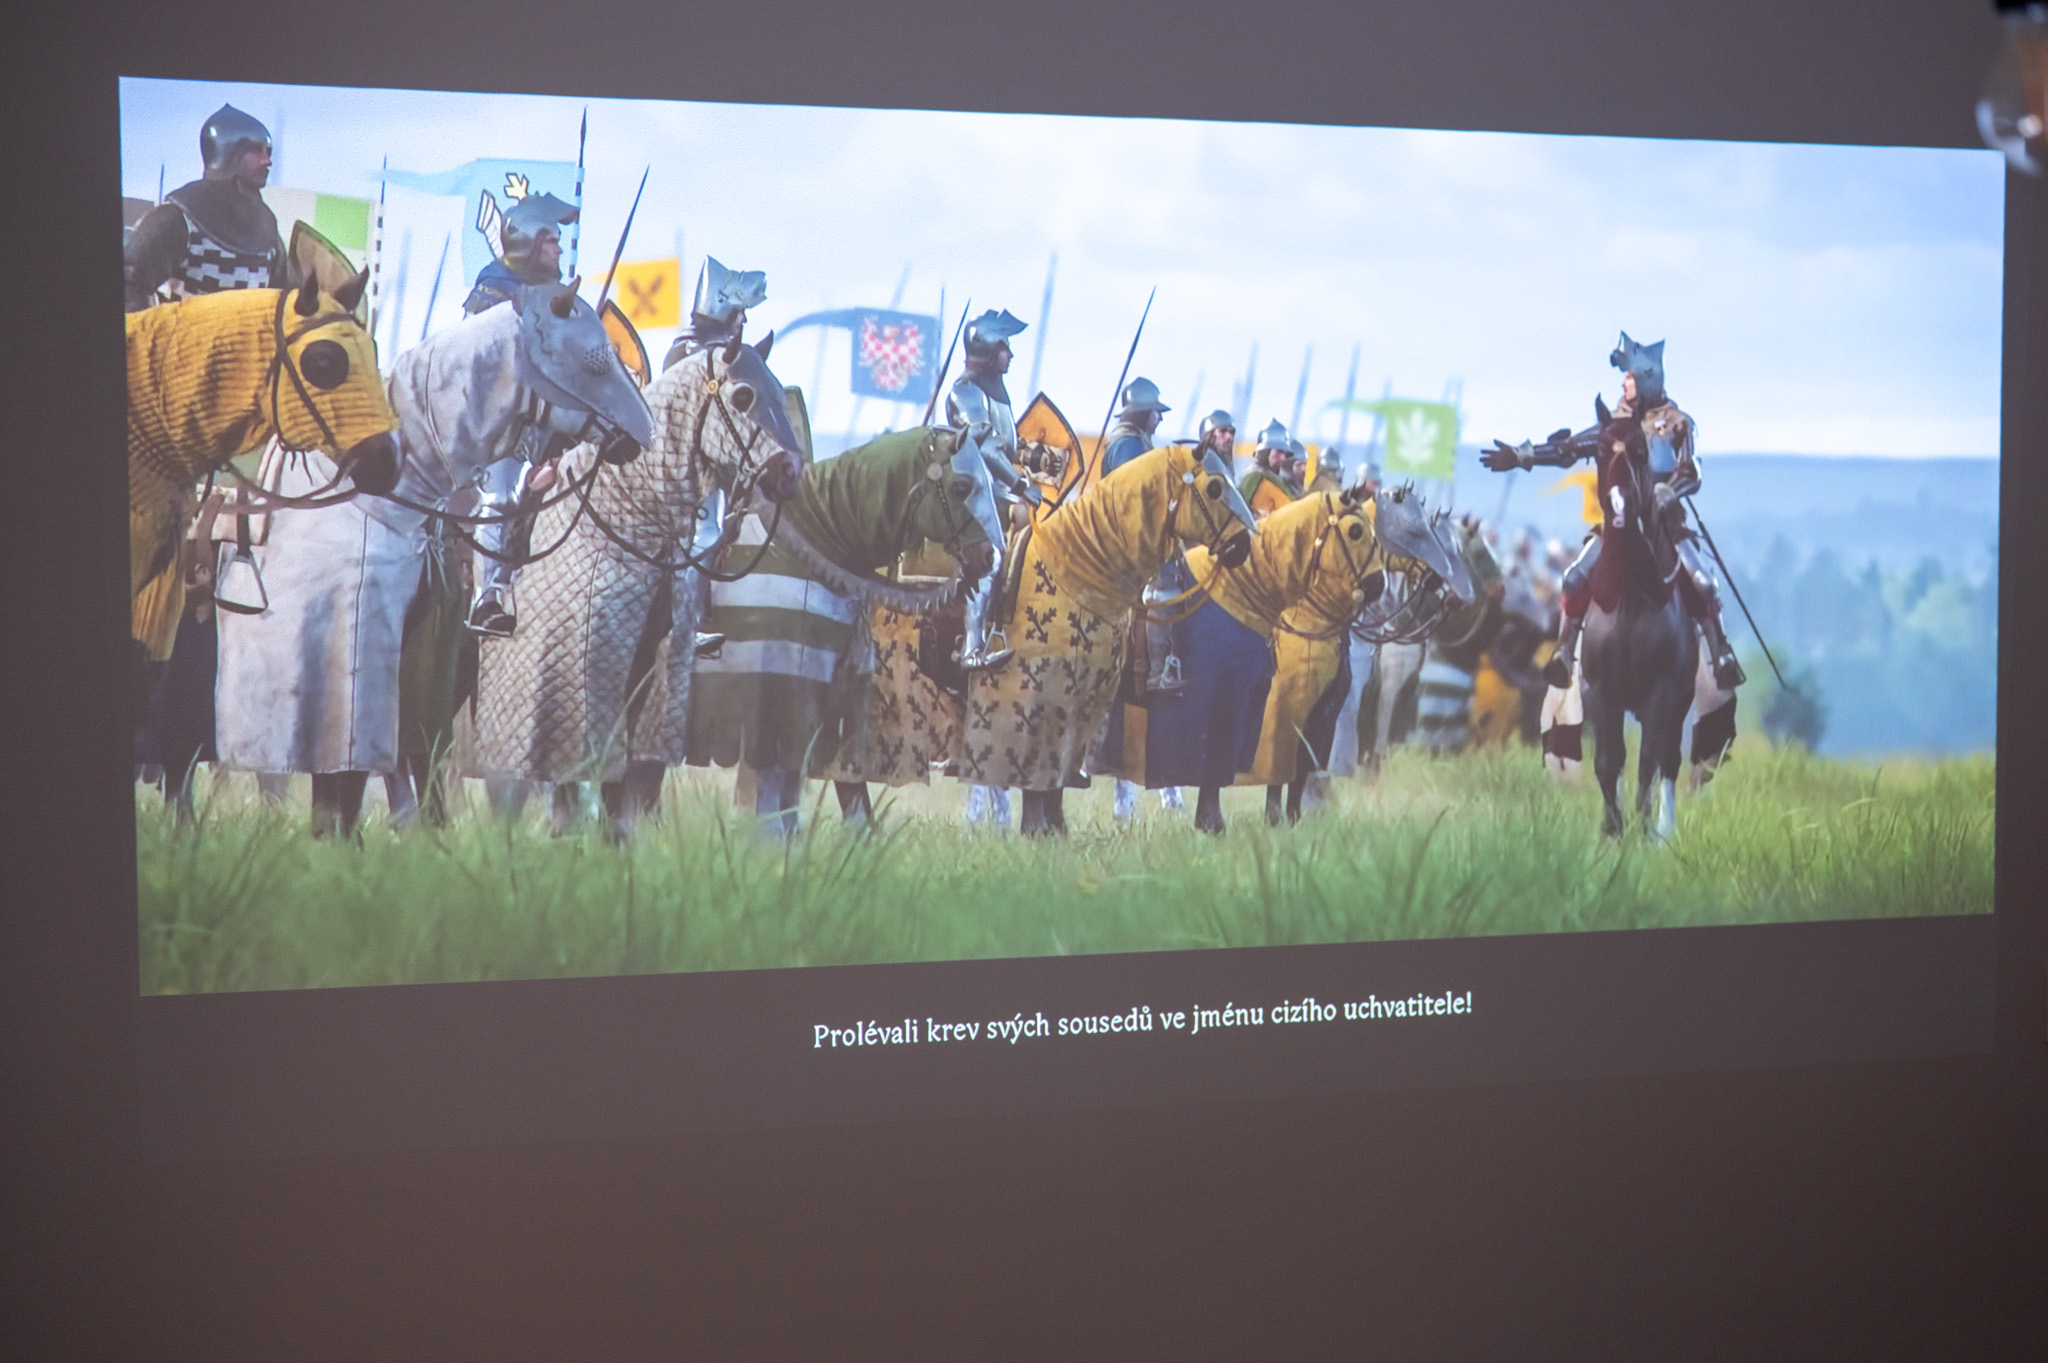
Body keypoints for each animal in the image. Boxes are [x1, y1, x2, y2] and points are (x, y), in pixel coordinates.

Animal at [470, 332, 809, 840]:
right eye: (743, 396)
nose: (789, 472)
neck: (627, 516)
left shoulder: (646, 666)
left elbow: (624, 779)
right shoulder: (573, 673)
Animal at [955, 439, 1261, 836]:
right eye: (1214, 487)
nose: (1241, 546)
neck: (1081, 571)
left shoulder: (1088, 699)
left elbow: (1062, 772)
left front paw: (1053, 828)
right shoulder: (1033, 700)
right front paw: (1036, 828)